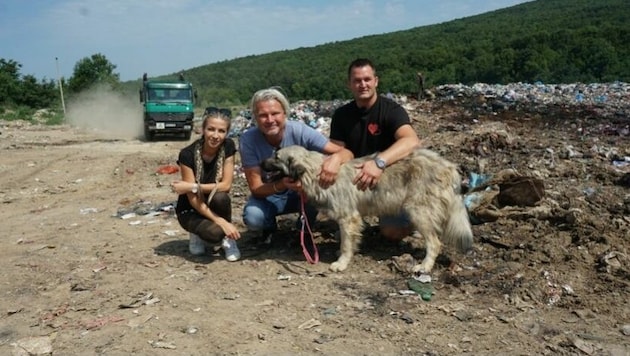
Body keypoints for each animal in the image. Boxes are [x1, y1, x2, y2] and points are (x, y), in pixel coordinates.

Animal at [262, 145, 474, 272]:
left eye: (276, 157)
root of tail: (449, 167)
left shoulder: (348, 218)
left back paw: (424, 266)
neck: (316, 173)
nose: (260, 163)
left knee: (435, 242)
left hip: (418, 211)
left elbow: (346, 243)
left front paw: (341, 263)